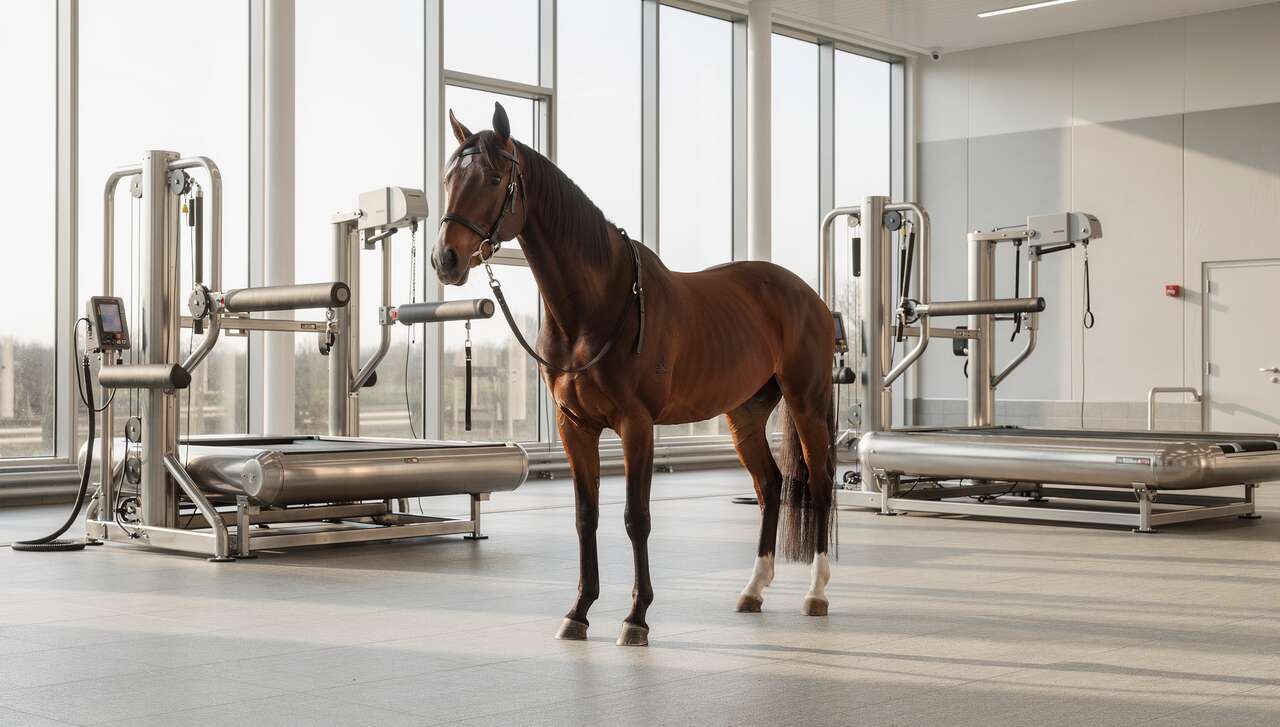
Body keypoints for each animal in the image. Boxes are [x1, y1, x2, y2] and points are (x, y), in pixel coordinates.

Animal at [432, 102, 836, 647]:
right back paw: (753, 590)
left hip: (806, 399)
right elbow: (586, 517)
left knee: (819, 484)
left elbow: (635, 518)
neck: (598, 307)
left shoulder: (636, 425)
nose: (446, 259)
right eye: (449, 177)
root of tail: (808, 296)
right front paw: (578, 611)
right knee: (769, 486)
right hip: (745, 414)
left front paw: (636, 617)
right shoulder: (574, 426)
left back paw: (816, 593)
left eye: (494, 179)